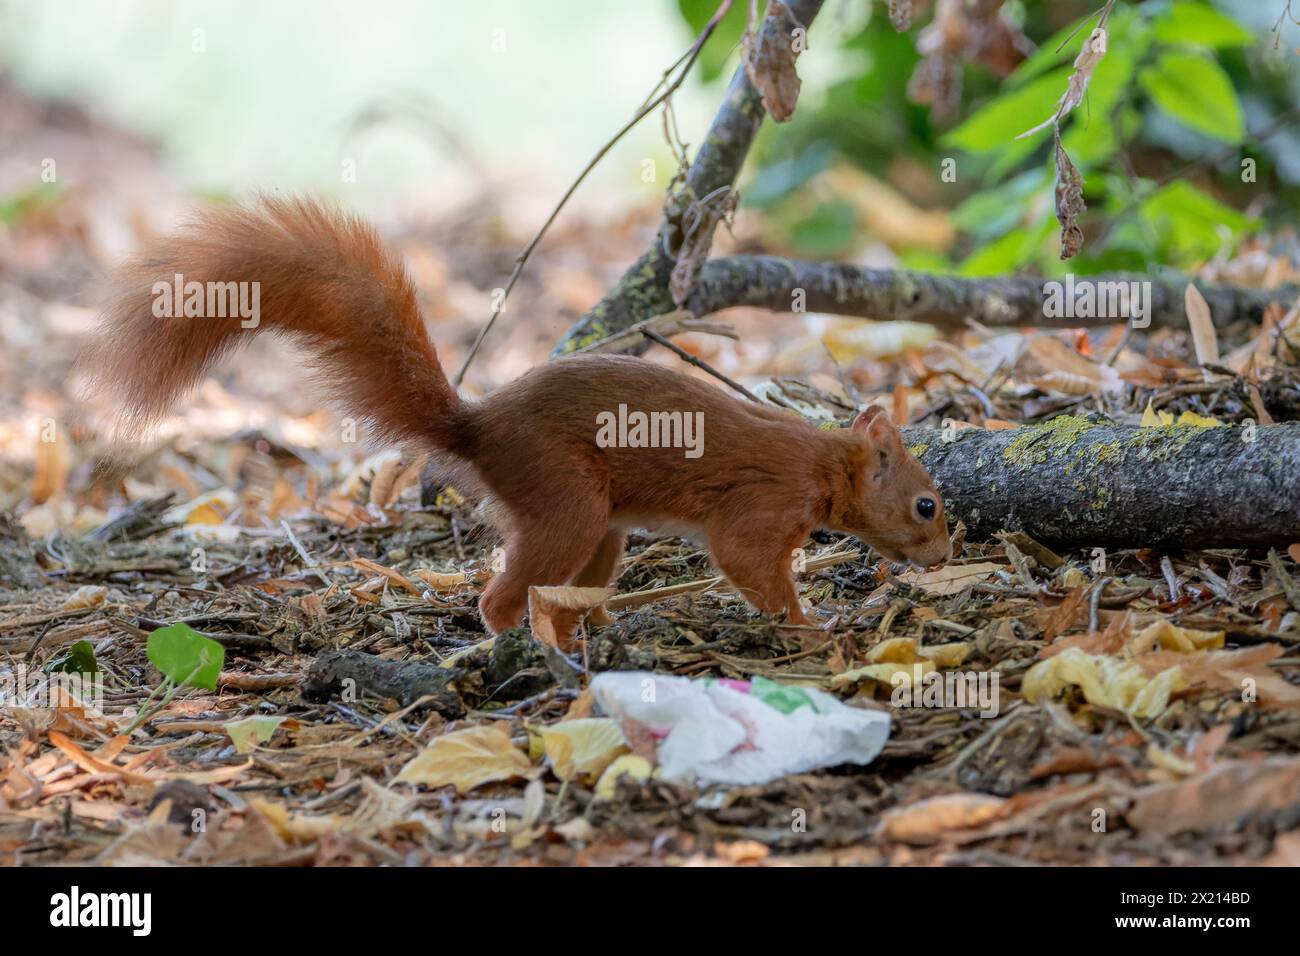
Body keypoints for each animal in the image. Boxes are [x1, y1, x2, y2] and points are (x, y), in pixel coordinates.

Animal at [83, 196, 951, 633]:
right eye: (927, 504)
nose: (948, 554)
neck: (820, 461)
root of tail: (480, 431)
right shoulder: (760, 509)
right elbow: (750, 567)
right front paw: (808, 626)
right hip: (567, 504)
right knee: (503, 599)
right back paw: (523, 651)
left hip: (598, 529)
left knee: (562, 595)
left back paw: (586, 640)